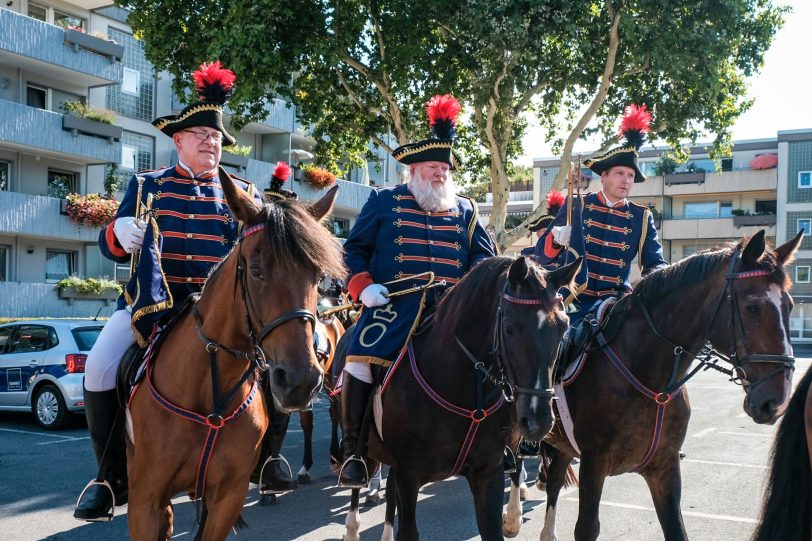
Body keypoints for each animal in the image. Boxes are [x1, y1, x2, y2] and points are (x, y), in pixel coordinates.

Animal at [124, 174, 346, 540]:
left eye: (316, 276)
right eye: (255, 269)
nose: (299, 379)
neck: (208, 390)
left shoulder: (228, 496)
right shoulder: (145, 500)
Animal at [340, 256, 580, 540]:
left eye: (564, 327)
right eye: (509, 329)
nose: (539, 421)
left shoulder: (487, 473)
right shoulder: (408, 474)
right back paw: (352, 524)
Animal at [504, 230, 804, 540]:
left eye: (790, 306)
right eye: (752, 307)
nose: (777, 400)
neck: (649, 378)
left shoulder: (664, 468)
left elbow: (676, 528)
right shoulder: (593, 465)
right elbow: (586, 527)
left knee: (553, 479)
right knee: (515, 462)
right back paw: (513, 515)